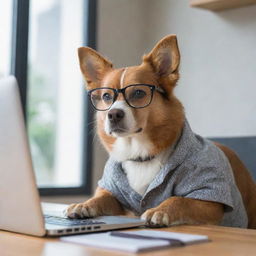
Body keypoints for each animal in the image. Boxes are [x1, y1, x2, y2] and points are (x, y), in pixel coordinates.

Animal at [65, 35, 256, 229]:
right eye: (106, 96)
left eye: (138, 93)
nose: (113, 114)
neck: (140, 154)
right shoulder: (112, 192)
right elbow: (101, 198)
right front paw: (84, 204)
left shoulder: (209, 198)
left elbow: (178, 199)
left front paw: (160, 211)